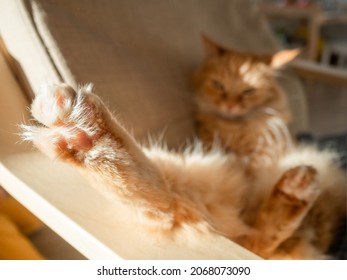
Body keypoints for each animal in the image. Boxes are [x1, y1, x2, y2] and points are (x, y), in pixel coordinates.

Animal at [193, 35, 302, 171]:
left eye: (249, 91)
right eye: (218, 85)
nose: (230, 105)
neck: (232, 128)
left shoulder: (266, 153)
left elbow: (249, 163)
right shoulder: (207, 139)